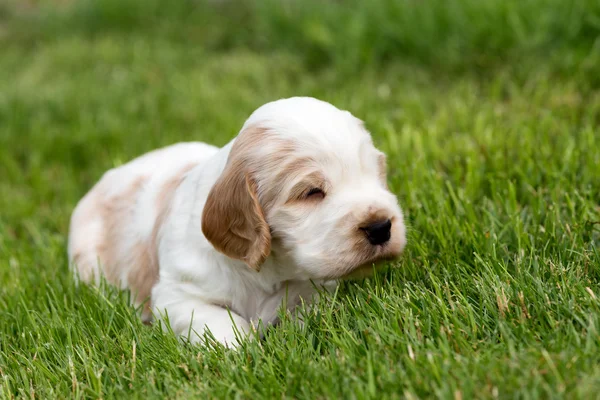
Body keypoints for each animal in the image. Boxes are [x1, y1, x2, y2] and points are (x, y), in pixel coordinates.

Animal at [69, 97, 408, 346]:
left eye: (375, 174)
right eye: (311, 192)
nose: (381, 227)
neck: (270, 269)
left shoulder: (313, 290)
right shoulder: (176, 295)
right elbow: (222, 325)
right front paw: (242, 351)